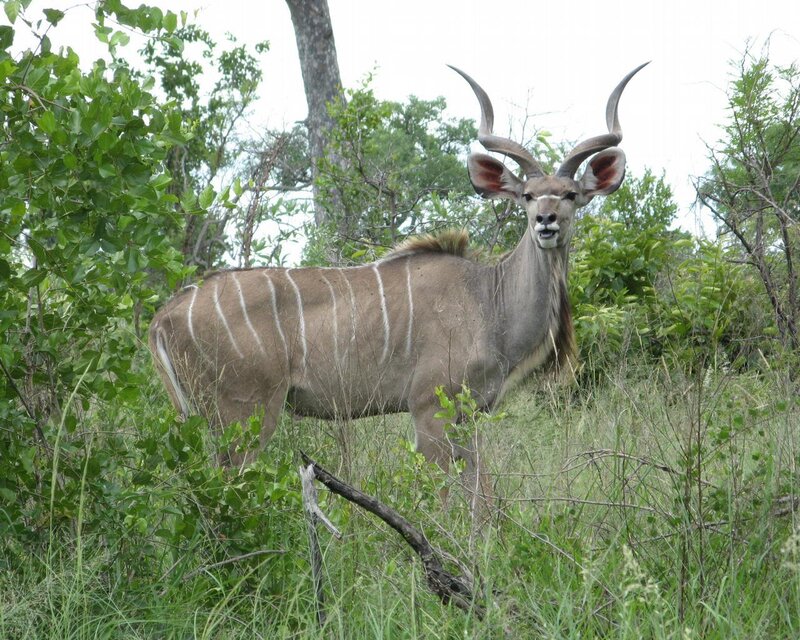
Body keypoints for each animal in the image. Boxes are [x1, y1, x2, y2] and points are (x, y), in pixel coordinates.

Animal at [148, 63, 647, 504]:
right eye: (526, 195)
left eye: (570, 195)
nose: (546, 222)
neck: (489, 300)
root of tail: (163, 318)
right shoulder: (428, 407)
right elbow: (447, 496)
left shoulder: (471, 414)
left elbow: (482, 497)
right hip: (247, 411)